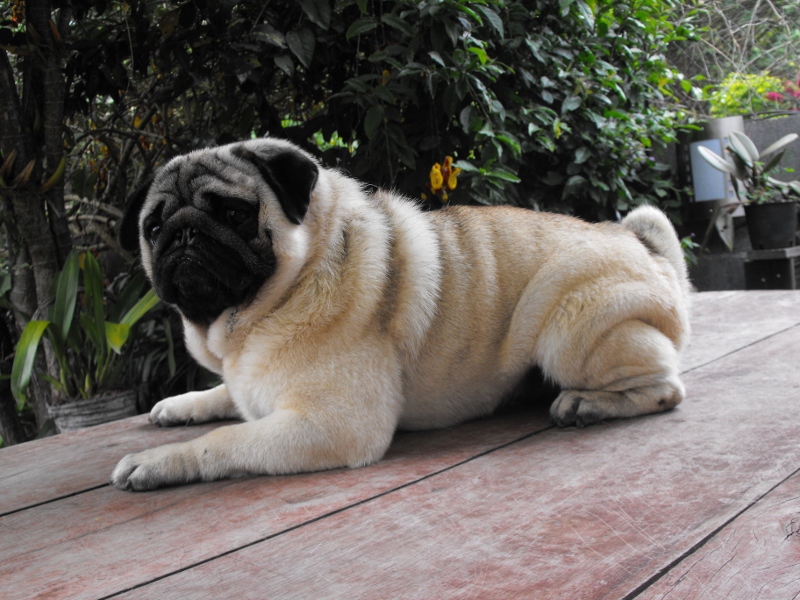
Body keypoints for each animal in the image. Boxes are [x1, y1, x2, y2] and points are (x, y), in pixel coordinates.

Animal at [111, 137, 691, 491]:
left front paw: (160, 463)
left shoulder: (332, 424)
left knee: (667, 387)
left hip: (570, 332)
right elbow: (224, 396)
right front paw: (181, 405)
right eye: (153, 228)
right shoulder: (250, 382)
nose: (185, 235)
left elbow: (224, 441)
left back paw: (587, 404)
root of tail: (642, 246)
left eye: (234, 213)